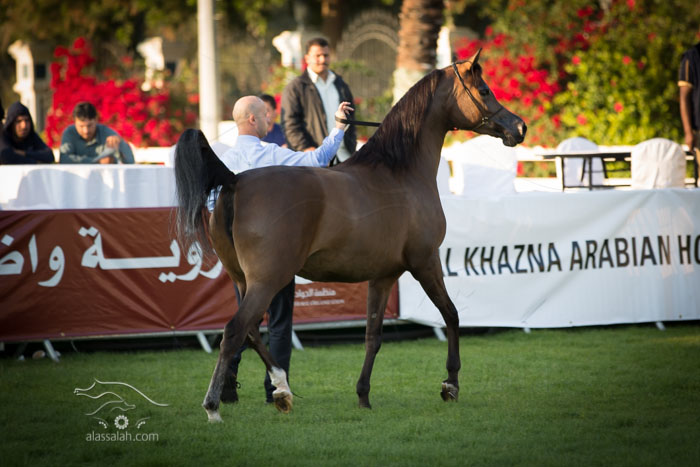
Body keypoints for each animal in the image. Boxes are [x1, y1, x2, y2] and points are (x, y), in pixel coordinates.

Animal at [174, 49, 526, 422]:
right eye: (485, 90)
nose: (519, 127)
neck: (399, 172)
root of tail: (235, 179)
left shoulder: (384, 277)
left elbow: (373, 335)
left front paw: (363, 395)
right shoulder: (426, 263)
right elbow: (452, 315)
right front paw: (451, 384)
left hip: (243, 281)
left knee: (251, 332)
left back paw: (282, 388)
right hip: (268, 281)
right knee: (234, 332)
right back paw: (216, 406)